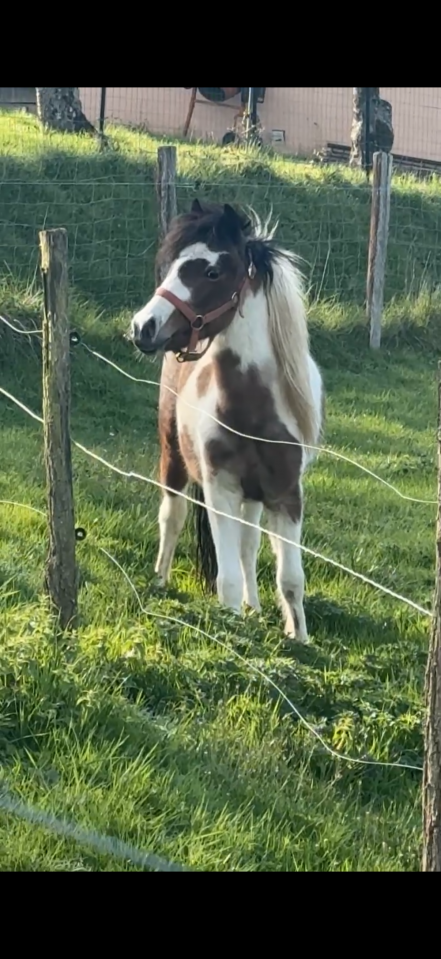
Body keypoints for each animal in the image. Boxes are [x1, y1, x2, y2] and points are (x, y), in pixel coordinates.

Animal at [130, 199, 324, 642]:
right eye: (170, 264)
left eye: (212, 272)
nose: (143, 326)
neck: (251, 412)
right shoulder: (220, 490)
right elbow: (227, 578)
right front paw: (233, 632)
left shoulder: (287, 495)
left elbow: (291, 578)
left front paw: (298, 639)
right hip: (175, 460)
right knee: (173, 518)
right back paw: (161, 582)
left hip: (253, 497)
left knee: (249, 544)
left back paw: (255, 607)